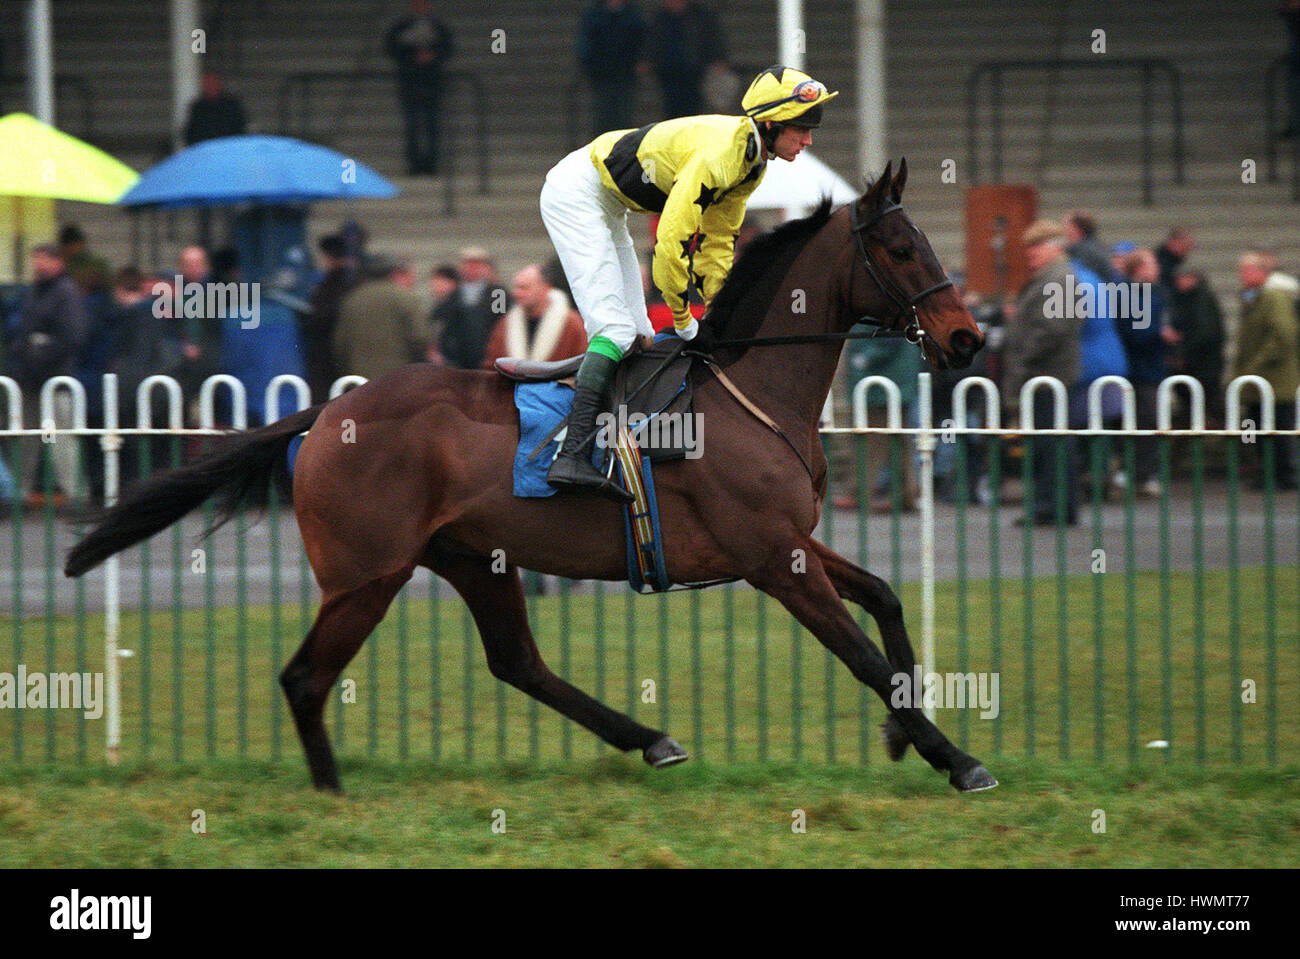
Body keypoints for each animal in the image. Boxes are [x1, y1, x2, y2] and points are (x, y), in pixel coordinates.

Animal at [65, 158, 993, 790]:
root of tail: (327, 413)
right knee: (306, 677)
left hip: (473, 557)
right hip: (367, 573)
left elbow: (886, 598)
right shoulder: (771, 556)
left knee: (517, 661)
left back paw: (649, 738)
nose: (966, 338)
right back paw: (330, 793)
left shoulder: (791, 539)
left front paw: (903, 735)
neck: (746, 390)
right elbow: (860, 653)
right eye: (902, 247)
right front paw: (954, 756)